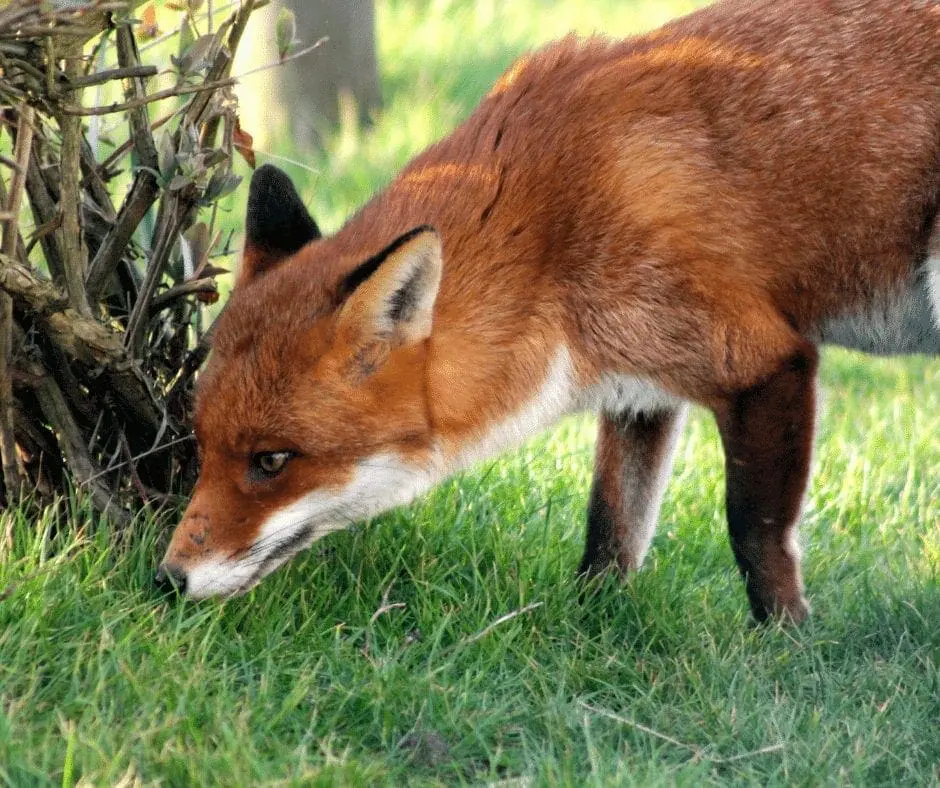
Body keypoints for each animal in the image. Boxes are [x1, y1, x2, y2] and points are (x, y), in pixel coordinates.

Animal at [157, 0, 940, 622]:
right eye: (202, 444)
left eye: (272, 461)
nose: (167, 579)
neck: (549, 229)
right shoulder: (641, 389)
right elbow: (611, 532)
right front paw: (595, 634)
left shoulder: (764, 364)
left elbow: (755, 532)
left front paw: (784, 642)